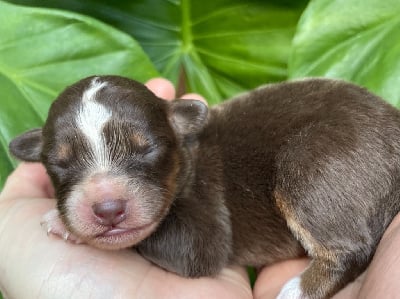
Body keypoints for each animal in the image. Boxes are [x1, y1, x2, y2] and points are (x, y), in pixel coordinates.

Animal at [7, 75, 400, 299]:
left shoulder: (203, 233)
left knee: (351, 250)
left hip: (310, 163)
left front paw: (60, 222)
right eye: (60, 163)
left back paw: (297, 291)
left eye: (147, 149)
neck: (187, 160)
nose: (107, 209)